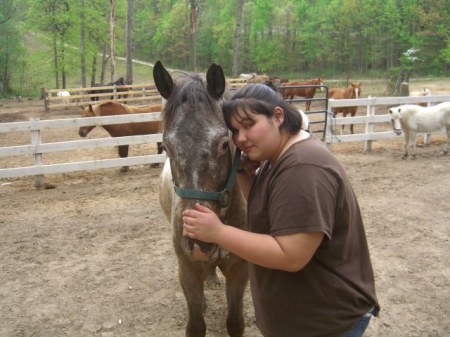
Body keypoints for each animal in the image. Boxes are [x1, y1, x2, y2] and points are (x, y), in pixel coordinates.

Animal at [153, 60, 248, 336]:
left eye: (224, 143)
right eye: (166, 147)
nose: (199, 243)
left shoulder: (239, 270)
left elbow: (235, 322)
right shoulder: (187, 269)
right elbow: (195, 324)